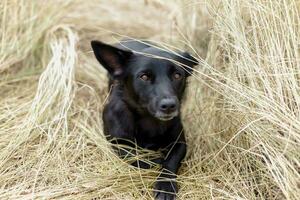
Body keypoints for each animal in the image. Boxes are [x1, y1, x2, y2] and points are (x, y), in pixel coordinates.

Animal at [91, 39, 199, 200]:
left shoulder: (179, 143)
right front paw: (156, 160)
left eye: (177, 75)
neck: (149, 120)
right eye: (144, 77)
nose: (169, 106)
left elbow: (171, 161)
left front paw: (166, 185)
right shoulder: (118, 143)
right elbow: (138, 158)